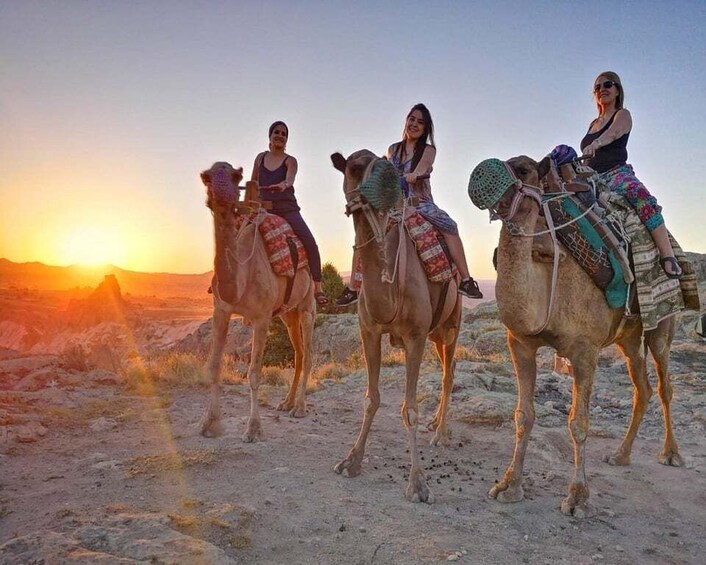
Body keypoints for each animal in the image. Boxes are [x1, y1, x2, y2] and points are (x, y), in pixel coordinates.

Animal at [198, 160, 314, 440]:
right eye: (207, 177)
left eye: (235, 176)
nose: (222, 195)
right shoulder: (221, 310)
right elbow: (214, 366)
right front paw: (210, 423)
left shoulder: (261, 318)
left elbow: (253, 373)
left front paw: (253, 428)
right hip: (287, 314)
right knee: (298, 352)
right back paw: (286, 402)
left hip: (308, 304)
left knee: (308, 353)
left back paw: (300, 407)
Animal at [330, 150, 462, 502]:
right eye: (353, 167)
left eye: (385, 163)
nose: (389, 183)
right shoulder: (369, 330)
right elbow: (371, 398)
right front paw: (351, 460)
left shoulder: (414, 336)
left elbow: (409, 408)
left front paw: (418, 484)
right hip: (435, 334)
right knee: (445, 370)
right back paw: (435, 424)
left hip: (451, 324)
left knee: (448, 374)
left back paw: (441, 434)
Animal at [468, 154, 680, 516]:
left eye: (523, 169)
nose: (480, 175)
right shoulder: (520, 342)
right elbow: (523, 416)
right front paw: (509, 485)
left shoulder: (585, 350)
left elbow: (578, 423)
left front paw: (578, 498)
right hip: (627, 338)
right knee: (643, 387)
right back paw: (621, 455)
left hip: (661, 325)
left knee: (664, 385)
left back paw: (670, 454)